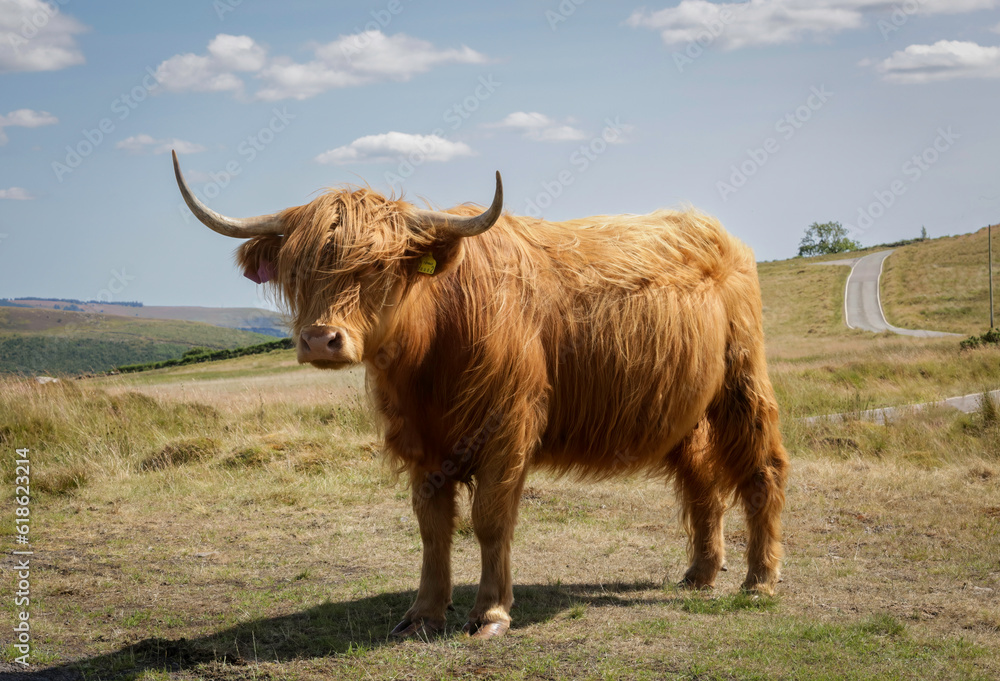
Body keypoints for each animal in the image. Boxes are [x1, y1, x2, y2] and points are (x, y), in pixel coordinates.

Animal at [171, 150, 788, 639]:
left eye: (377, 266)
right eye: (297, 269)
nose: (321, 339)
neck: (430, 358)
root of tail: (707, 227)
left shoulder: (507, 430)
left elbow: (490, 519)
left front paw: (490, 613)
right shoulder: (421, 443)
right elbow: (432, 526)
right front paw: (423, 613)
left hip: (741, 379)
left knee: (762, 469)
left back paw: (760, 580)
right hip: (688, 409)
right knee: (702, 482)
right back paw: (701, 574)